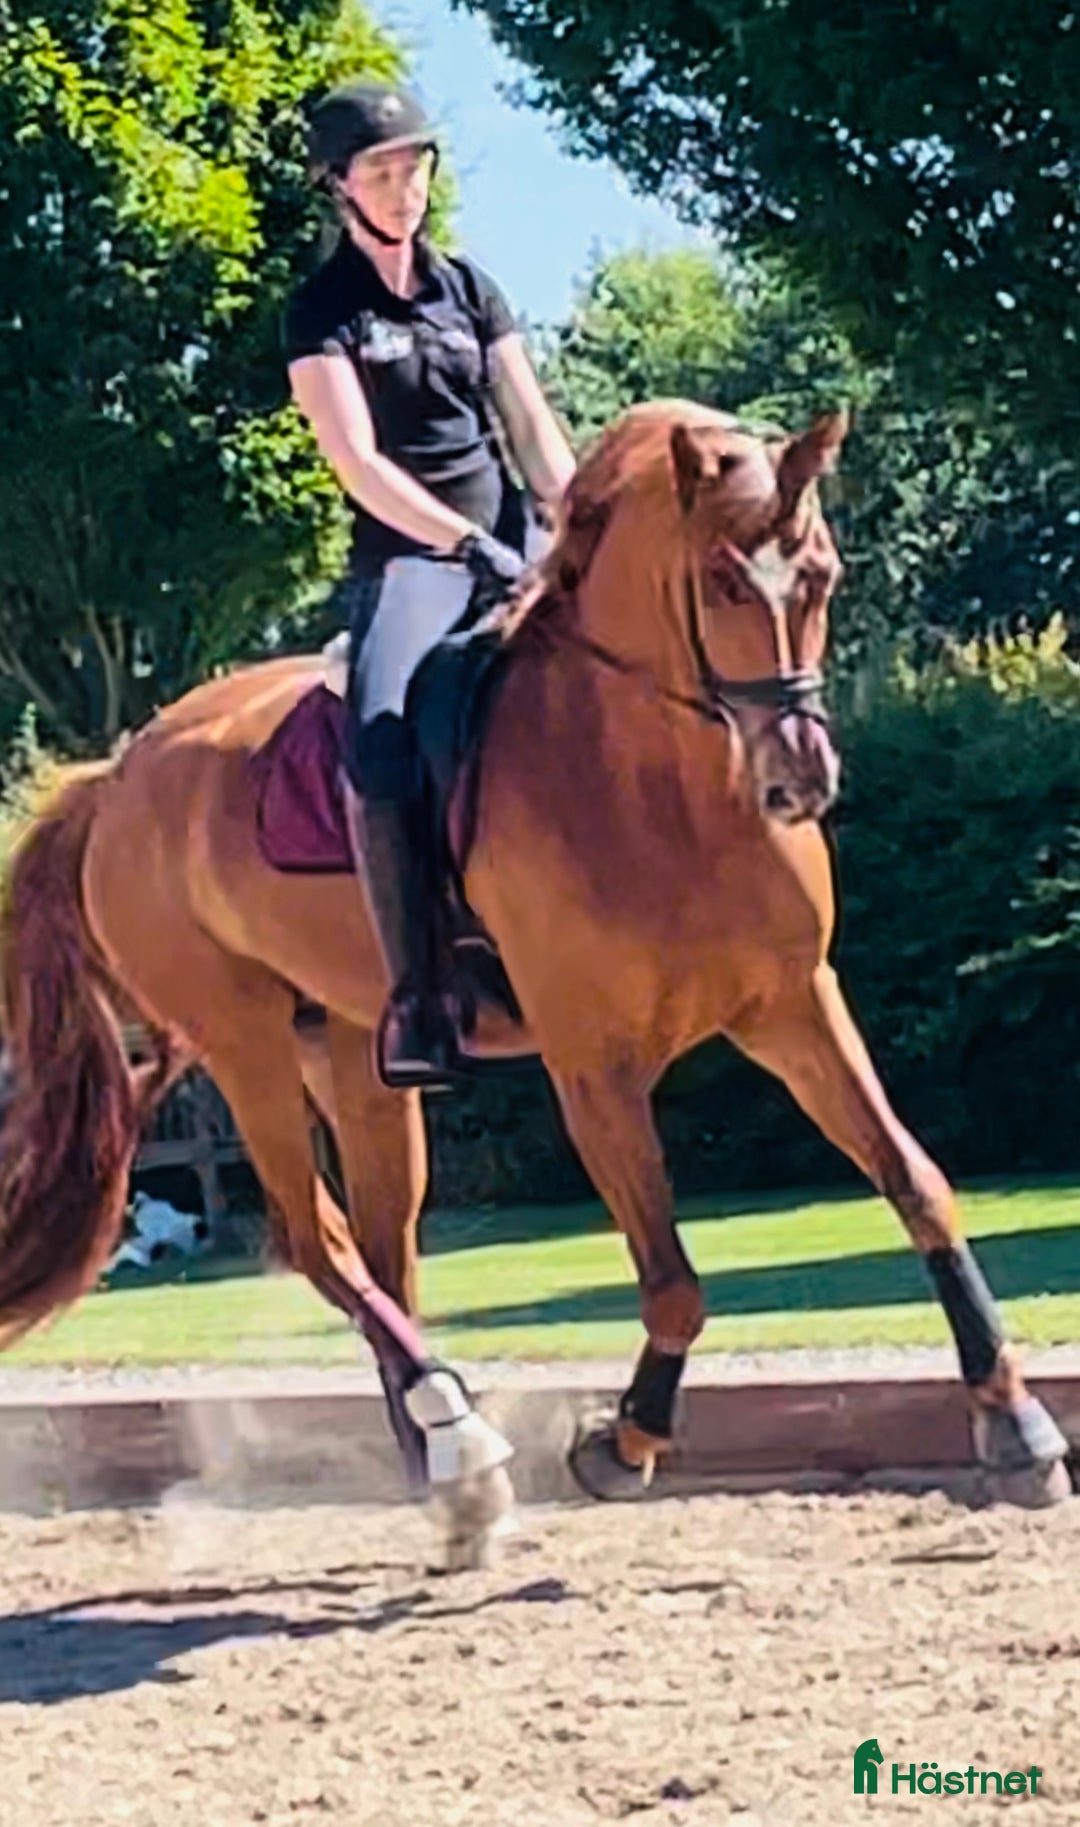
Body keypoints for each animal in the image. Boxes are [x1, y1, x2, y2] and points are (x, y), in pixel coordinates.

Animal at [0, 400, 1069, 1567]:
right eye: (724, 580)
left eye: (822, 573)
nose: (800, 778)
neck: (658, 781)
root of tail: (115, 777)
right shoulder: (592, 1067)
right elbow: (675, 1285)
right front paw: (622, 1442)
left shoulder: (792, 1007)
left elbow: (916, 1181)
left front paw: (1015, 1424)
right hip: (245, 1045)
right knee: (313, 1238)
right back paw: (458, 1435)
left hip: (352, 1054)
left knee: (382, 1247)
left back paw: (445, 1468)